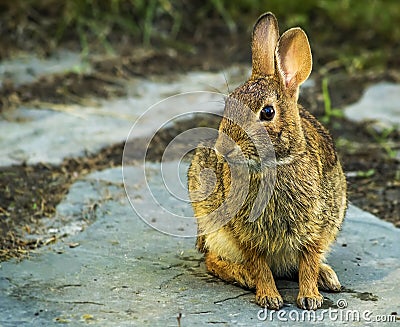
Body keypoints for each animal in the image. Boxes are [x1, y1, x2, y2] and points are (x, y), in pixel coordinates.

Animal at [188, 11, 346, 312]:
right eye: (228, 105)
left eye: (268, 112)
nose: (224, 150)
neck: (274, 165)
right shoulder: (245, 235)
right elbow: (259, 265)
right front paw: (269, 298)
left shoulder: (316, 228)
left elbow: (308, 261)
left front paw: (310, 299)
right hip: (211, 225)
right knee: (212, 260)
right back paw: (244, 276)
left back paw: (327, 276)